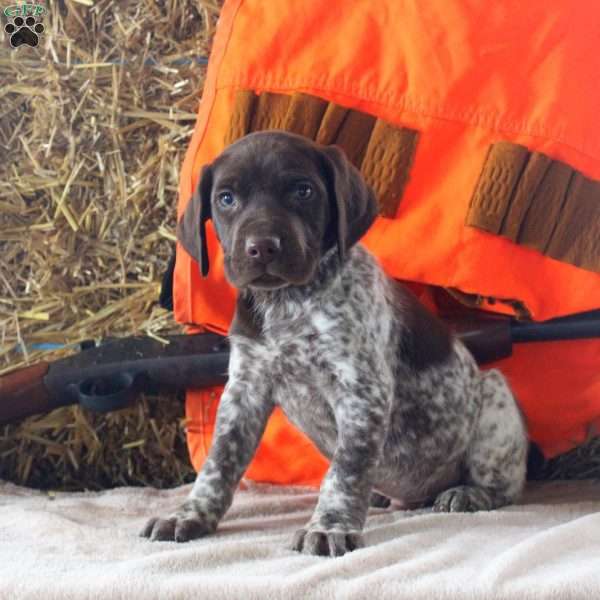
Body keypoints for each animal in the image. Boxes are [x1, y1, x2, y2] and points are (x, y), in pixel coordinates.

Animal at [143, 130, 528, 556]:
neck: (287, 302)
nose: (262, 247)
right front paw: (190, 514)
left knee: (505, 485)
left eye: (303, 190)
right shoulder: (245, 390)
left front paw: (329, 526)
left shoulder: (361, 392)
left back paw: (469, 493)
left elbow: (345, 470)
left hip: (495, 396)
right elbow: (218, 462)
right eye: (226, 198)